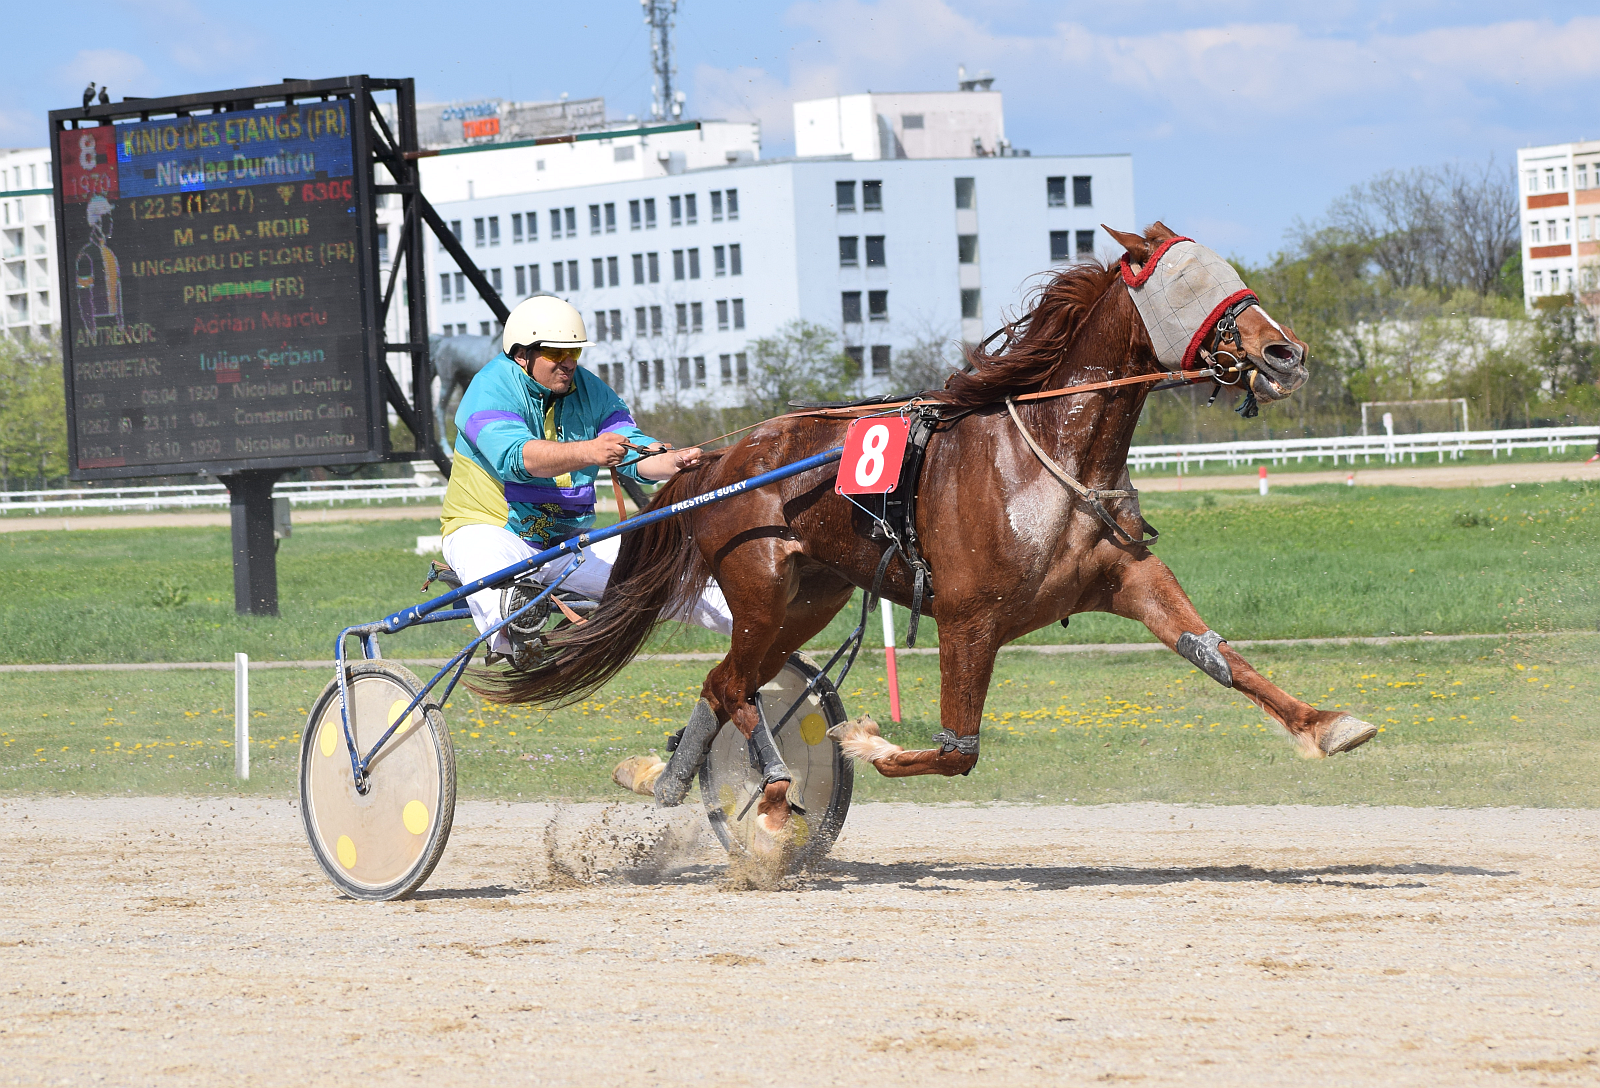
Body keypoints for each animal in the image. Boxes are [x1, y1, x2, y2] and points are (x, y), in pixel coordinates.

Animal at [473, 222, 1378, 853]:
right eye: (1188, 283)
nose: (1285, 352)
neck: (1045, 456)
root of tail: (724, 456)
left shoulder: (1128, 579)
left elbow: (1220, 657)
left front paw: (1327, 723)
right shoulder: (968, 620)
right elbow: (956, 750)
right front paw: (863, 739)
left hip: (808, 597)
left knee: (724, 684)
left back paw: (666, 783)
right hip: (759, 588)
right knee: (734, 686)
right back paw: (770, 798)